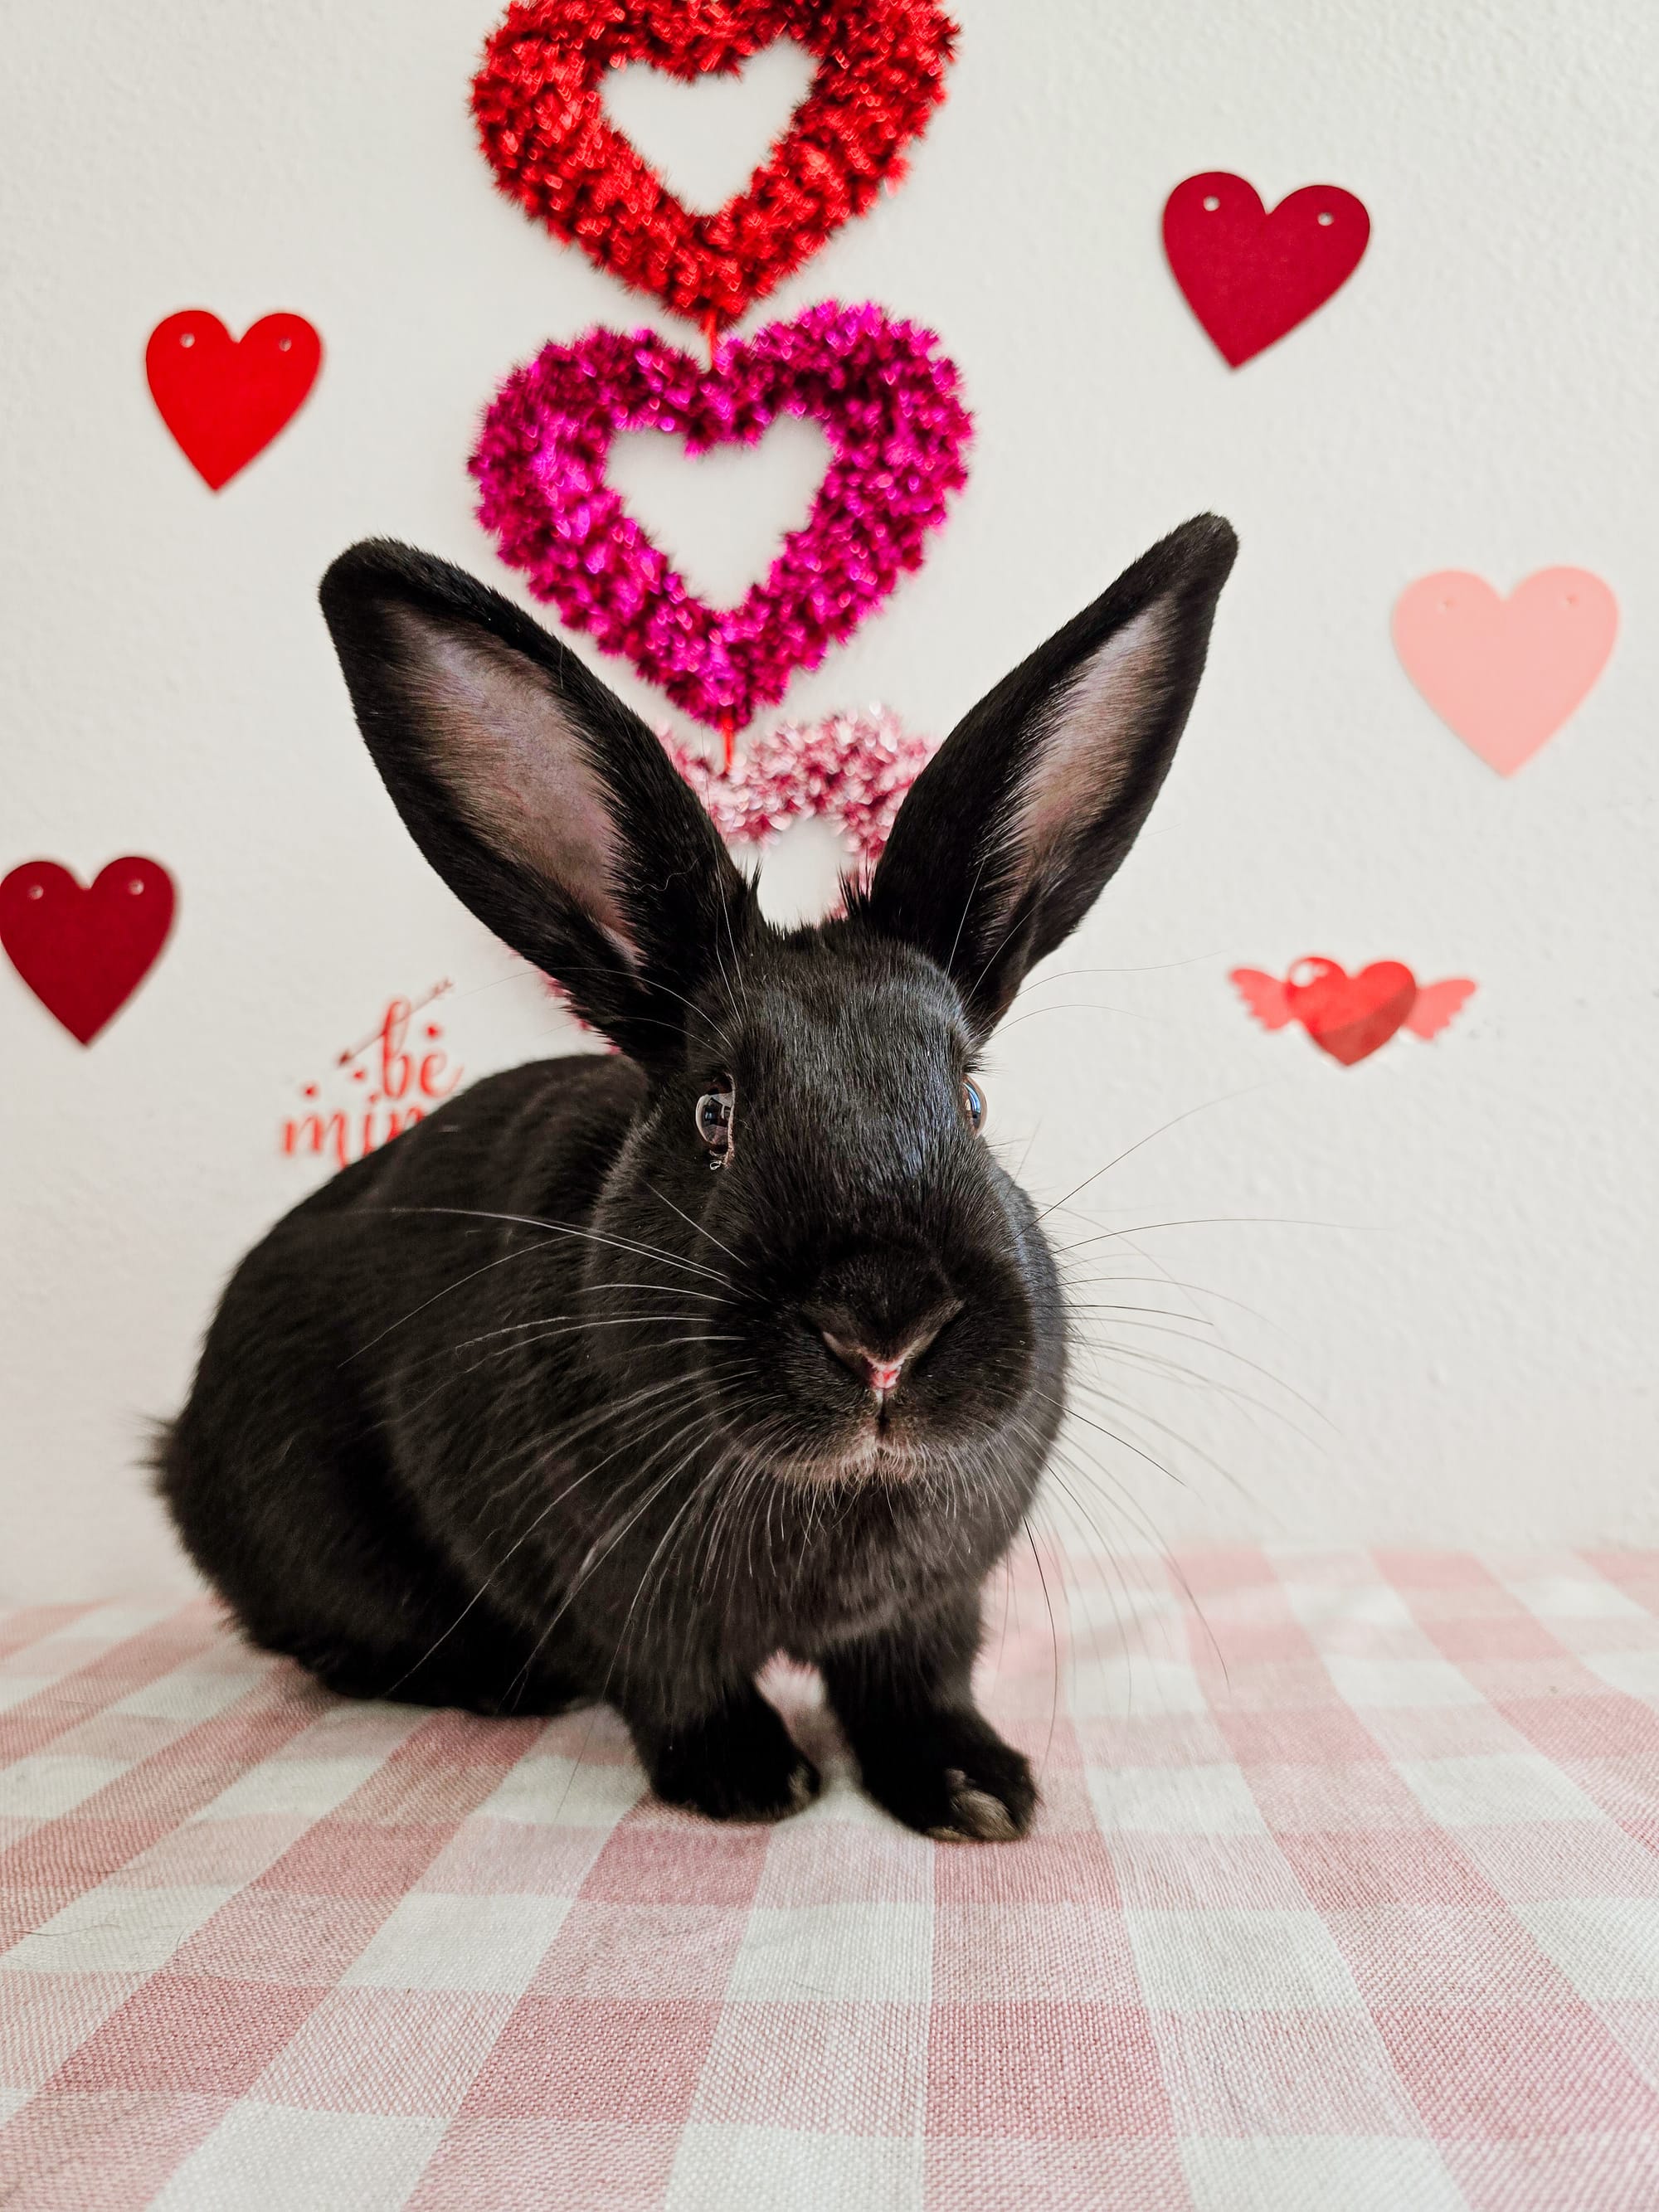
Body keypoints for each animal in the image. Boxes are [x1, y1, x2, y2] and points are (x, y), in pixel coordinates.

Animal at [157, 513, 1236, 1841]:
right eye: (714, 1114)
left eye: (972, 1104)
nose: (886, 1331)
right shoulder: (623, 1589)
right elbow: (676, 1682)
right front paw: (751, 1782)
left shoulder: (929, 1608)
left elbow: (916, 1684)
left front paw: (978, 1791)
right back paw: (505, 1681)